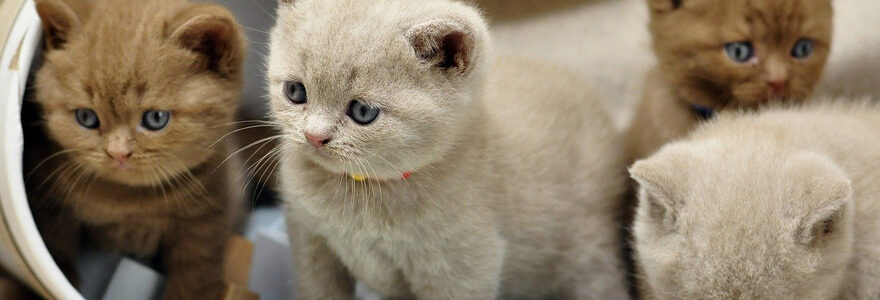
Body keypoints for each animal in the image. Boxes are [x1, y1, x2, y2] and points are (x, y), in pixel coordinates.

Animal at [27, 0, 246, 298]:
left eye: (156, 118)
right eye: (86, 117)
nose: (118, 152)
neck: (126, 202)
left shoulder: (207, 213)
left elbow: (197, 267)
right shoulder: (47, 195)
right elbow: (55, 243)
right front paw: (64, 277)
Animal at [264, 1, 628, 298]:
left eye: (363, 112)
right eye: (295, 91)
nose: (314, 137)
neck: (362, 191)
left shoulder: (463, 265)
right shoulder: (310, 241)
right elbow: (319, 289)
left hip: (588, 255)